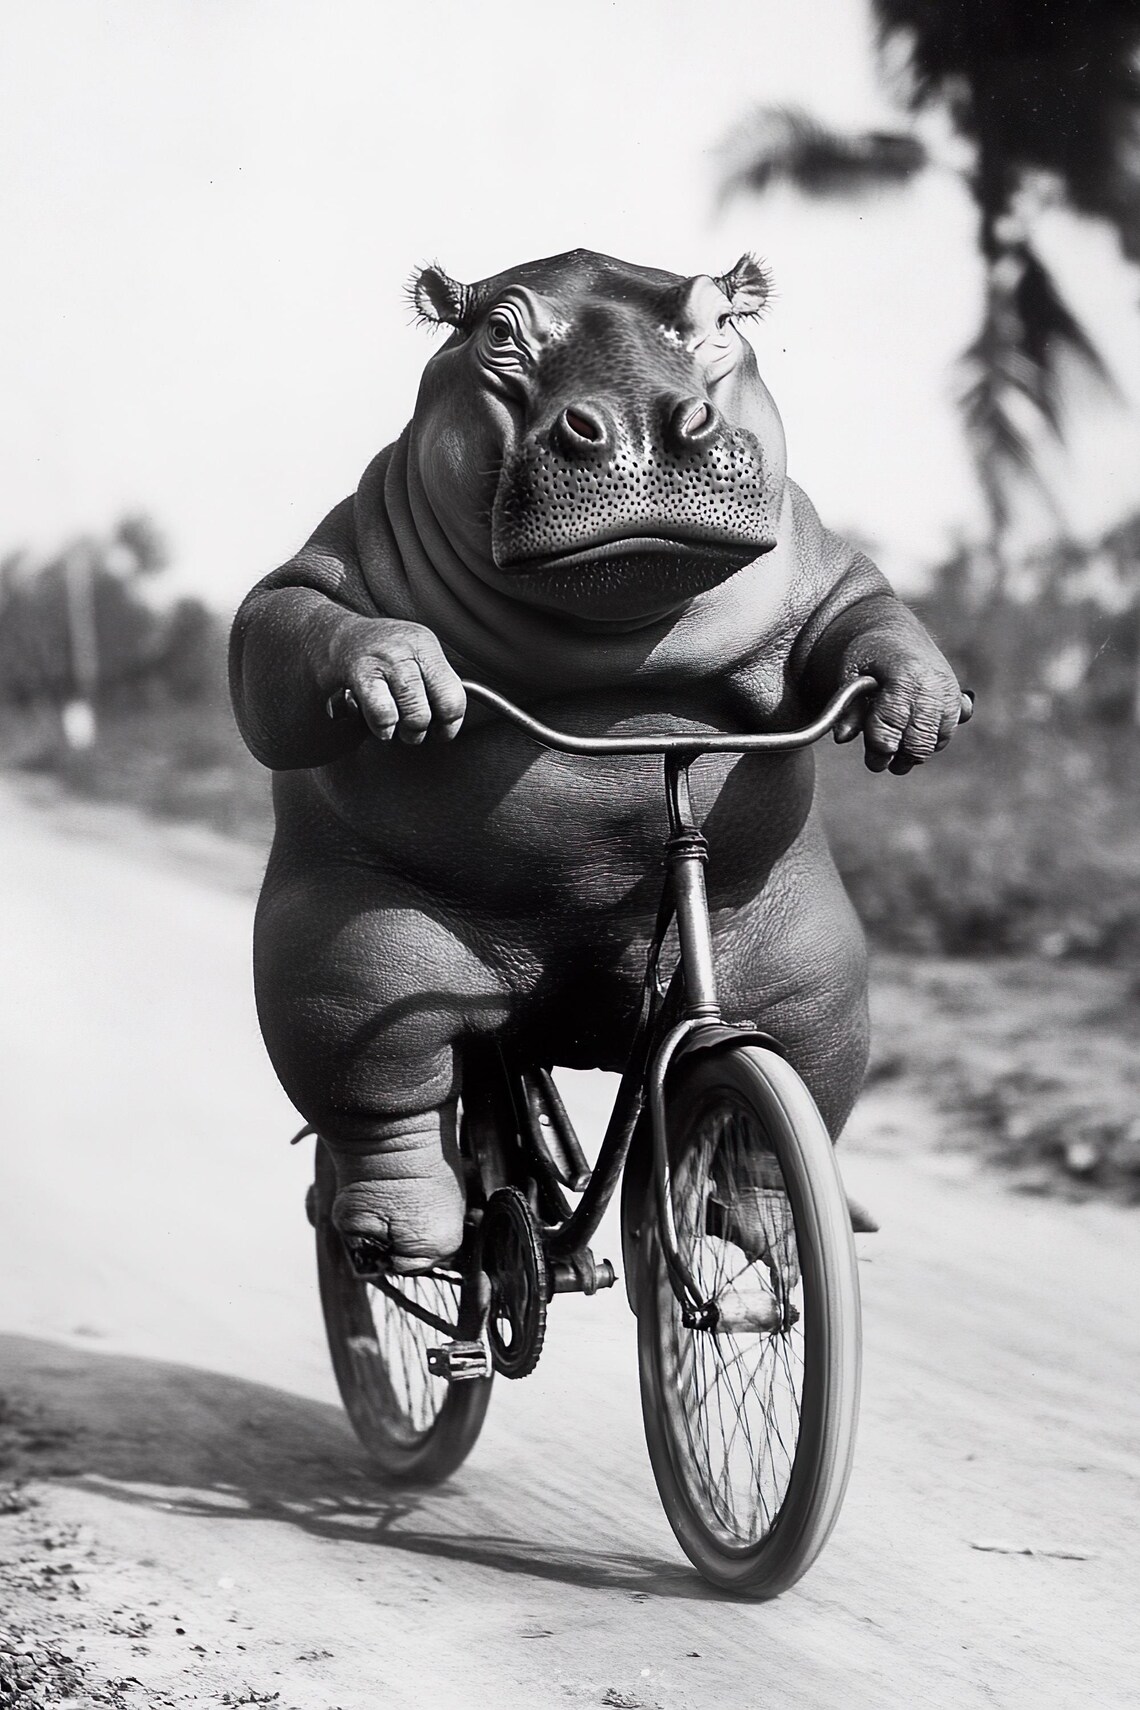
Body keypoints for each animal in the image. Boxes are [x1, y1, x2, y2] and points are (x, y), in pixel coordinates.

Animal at [229, 248, 964, 1274]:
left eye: (720, 319)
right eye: (498, 331)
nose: (645, 422)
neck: (615, 641)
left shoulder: (821, 560)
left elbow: (869, 611)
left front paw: (918, 705)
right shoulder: (335, 547)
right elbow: (280, 630)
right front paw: (398, 677)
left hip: (807, 970)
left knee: (793, 1091)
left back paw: (775, 1226)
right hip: (353, 955)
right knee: (379, 1093)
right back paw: (400, 1235)